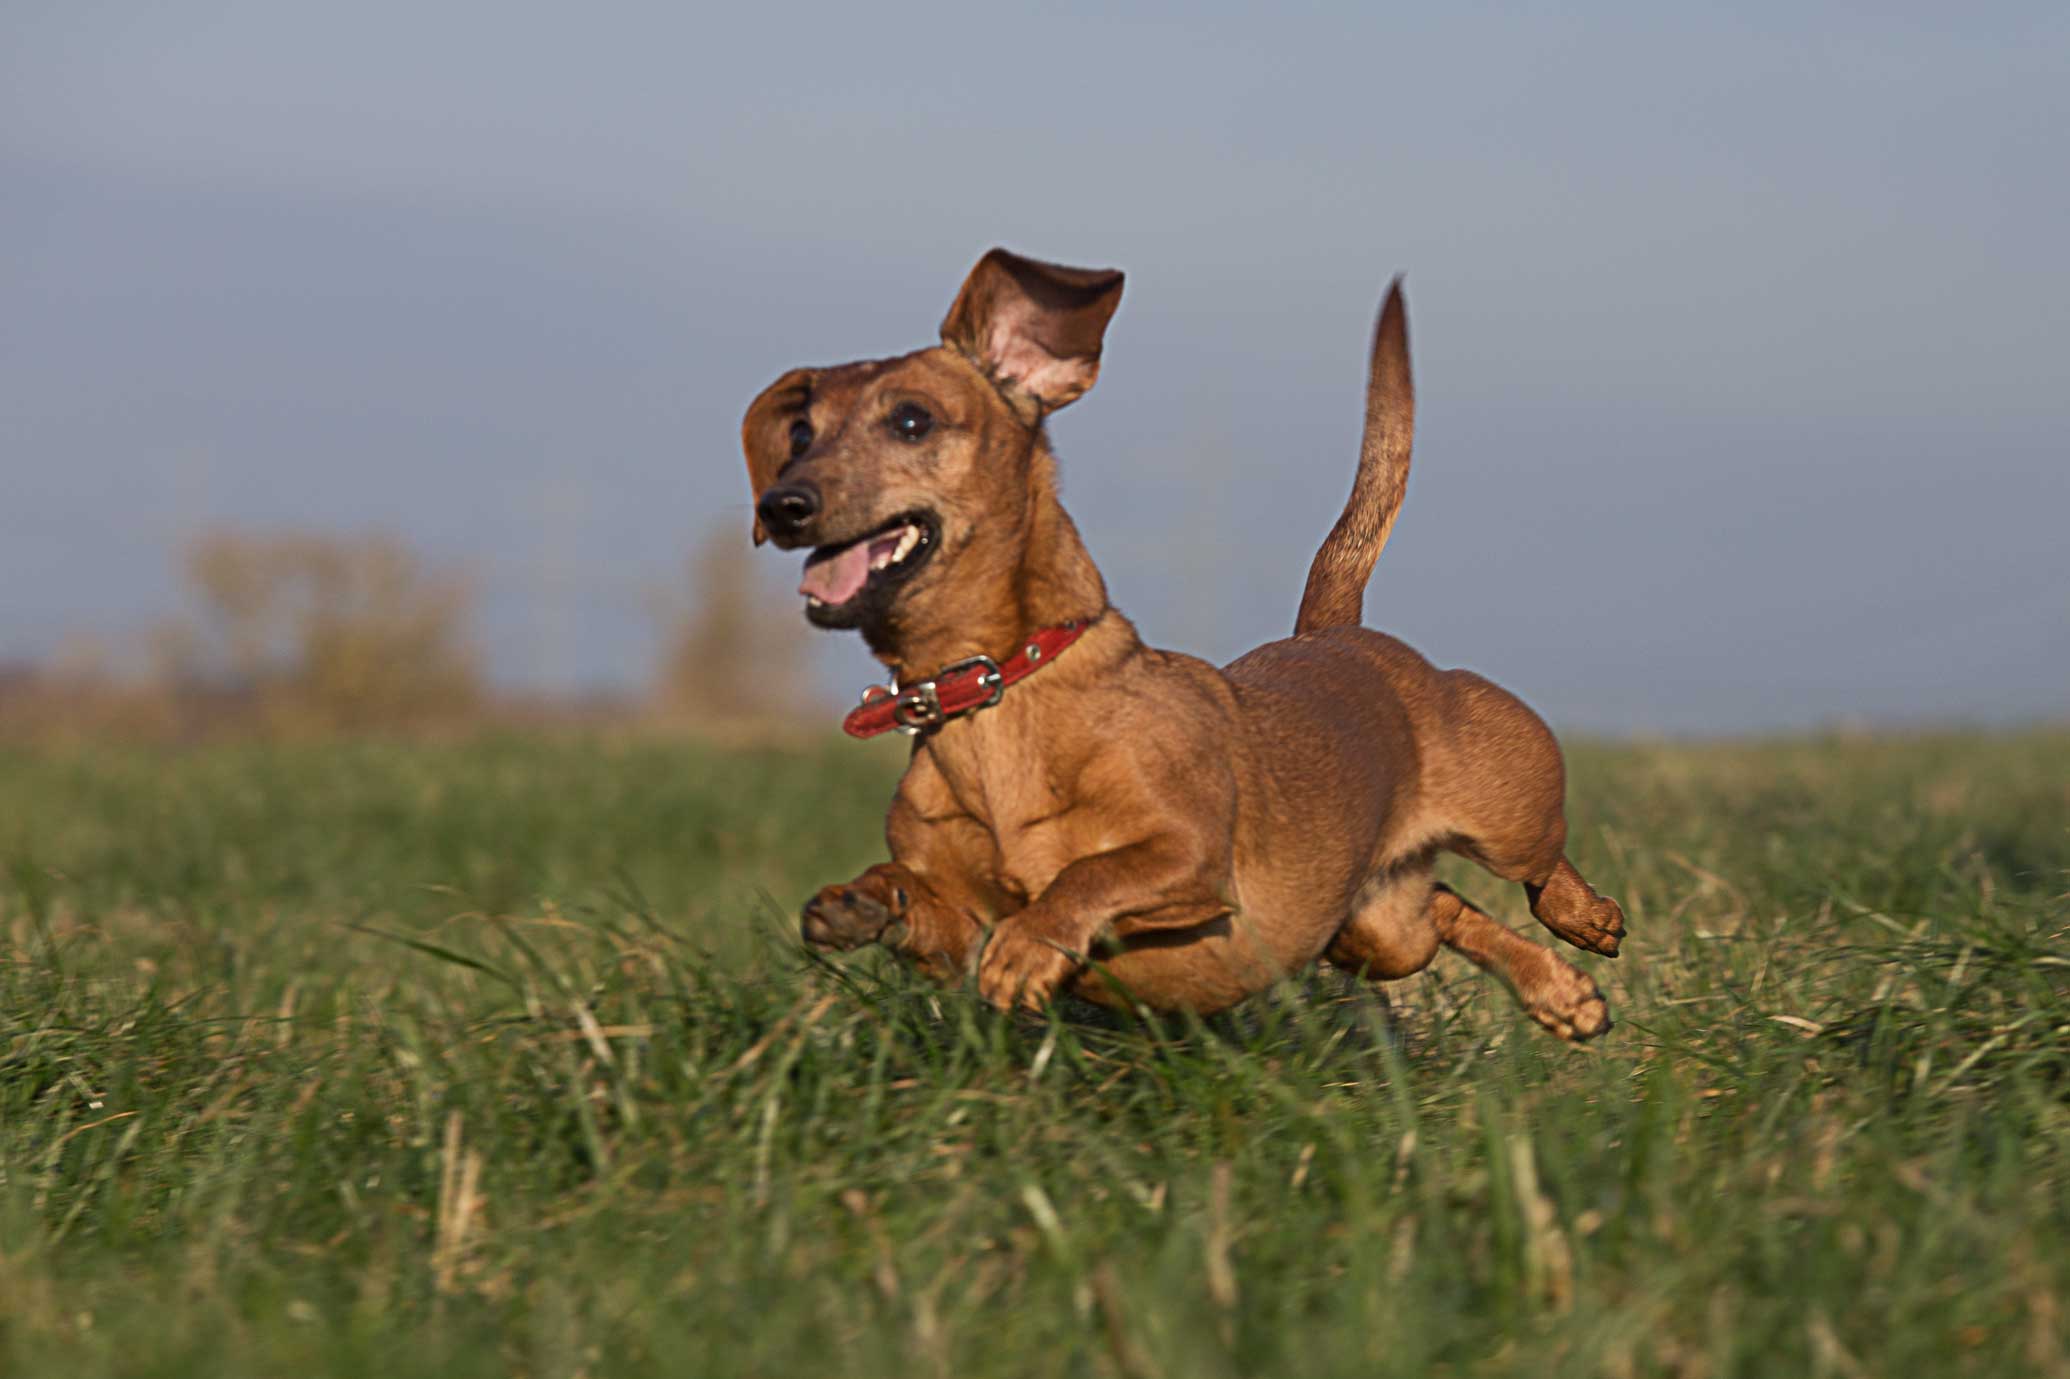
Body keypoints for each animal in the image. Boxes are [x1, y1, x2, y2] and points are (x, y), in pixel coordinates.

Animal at [736, 249, 1622, 1043]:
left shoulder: (1189, 859)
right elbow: (925, 908)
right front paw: (860, 900)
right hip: (1372, 931)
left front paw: (1033, 940)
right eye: (801, 433)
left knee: (1539, 863)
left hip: (1508, 811)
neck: (991, 698)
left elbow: (1089, 873)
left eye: (911, 419)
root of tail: (1336, 632)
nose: (783, 505)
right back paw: (1562, 993)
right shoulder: (955, 928)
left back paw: (1585, 919)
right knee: (1443, 908)